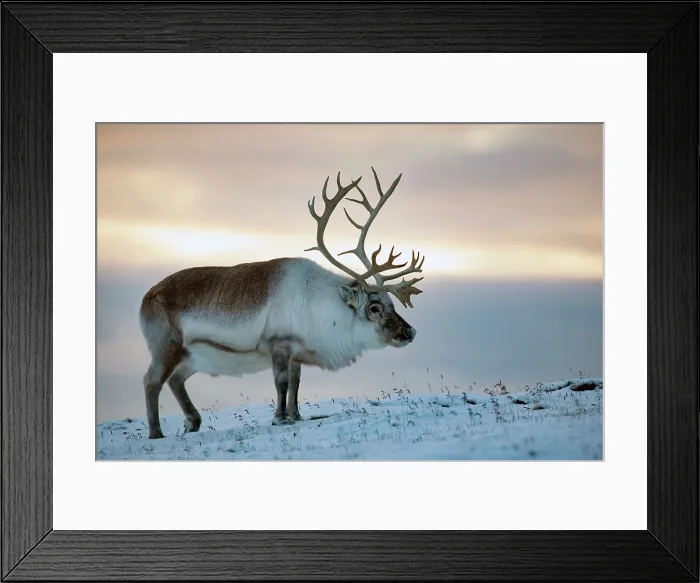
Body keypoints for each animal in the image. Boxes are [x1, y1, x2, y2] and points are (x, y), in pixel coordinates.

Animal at [138, 168, 425, 439]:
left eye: (392, 304)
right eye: (374, 307)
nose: (409, 332)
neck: (318, 305)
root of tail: (145, 298)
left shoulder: (296, 351)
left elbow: (296, 383)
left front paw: (295, 415)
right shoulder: (279, 343)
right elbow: (282, 382)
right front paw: (280, 417)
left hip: (193, 356)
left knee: (175, 380)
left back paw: (192, 422)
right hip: (166, 346)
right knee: (151, 380)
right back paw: (156, 433)